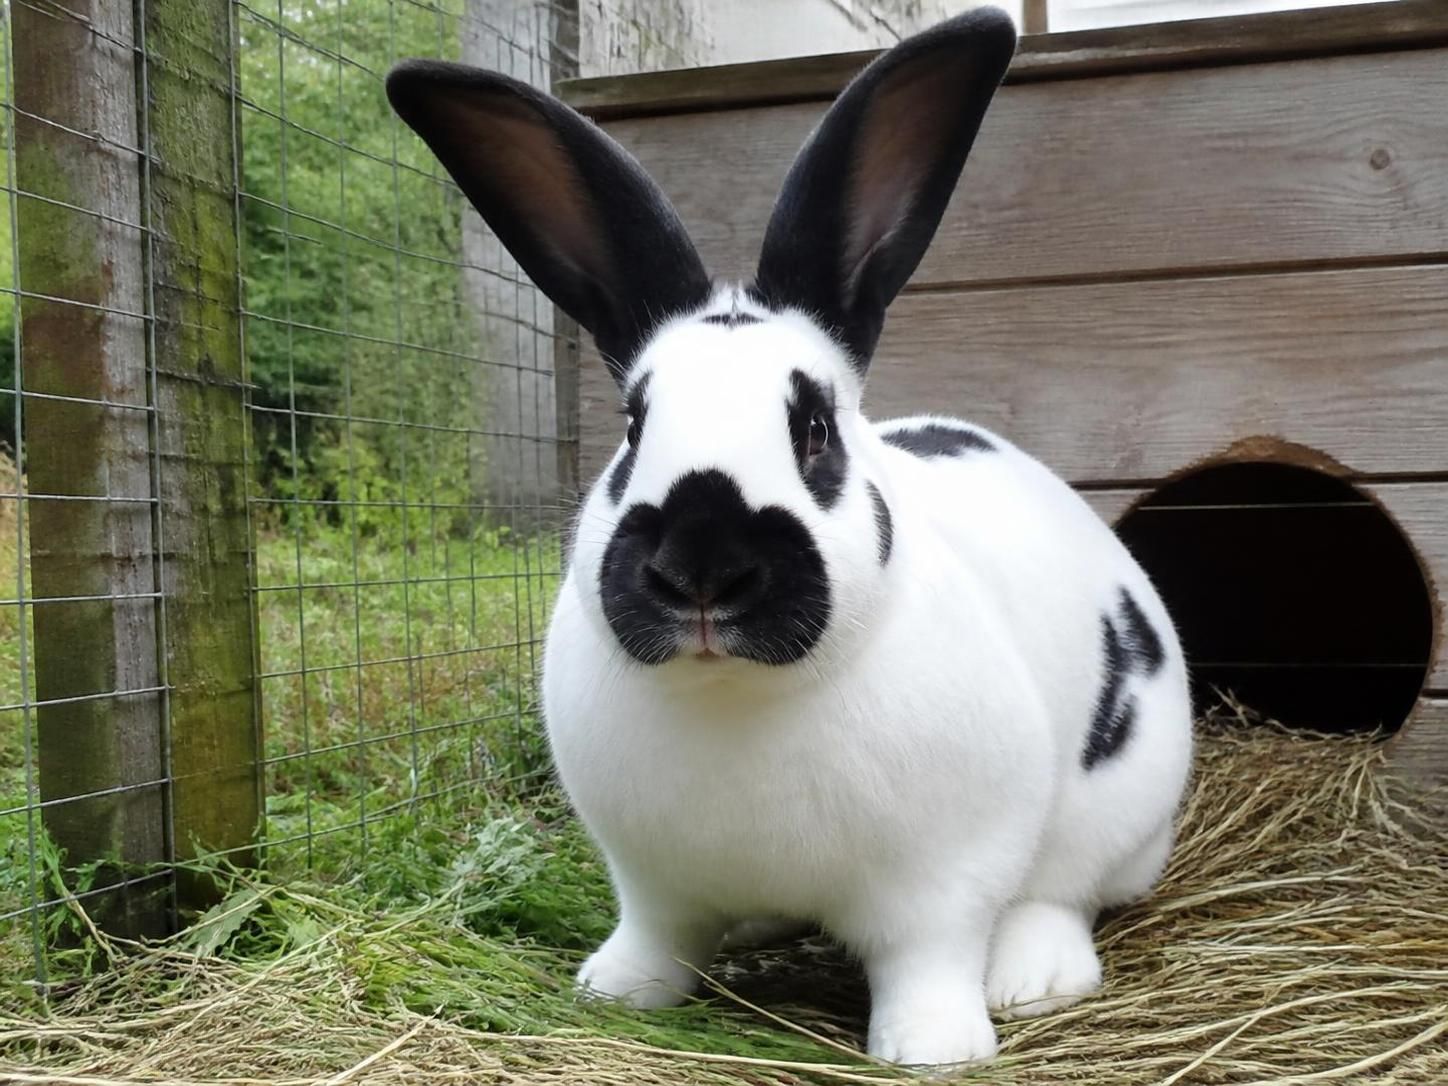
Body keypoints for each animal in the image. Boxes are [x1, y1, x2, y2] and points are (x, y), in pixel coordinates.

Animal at [387, 5, 1192, 1068]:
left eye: (813, 430)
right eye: (634, 426)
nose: (699, 566)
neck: (737, 697)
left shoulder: (944, 878)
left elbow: (930, 957)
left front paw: (931, 1047)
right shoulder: (650, 880)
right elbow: (655, 938)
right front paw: (614, 990)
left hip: (1114, 809)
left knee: (1064, 893)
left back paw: (1033, 975)